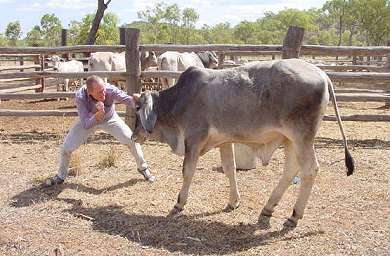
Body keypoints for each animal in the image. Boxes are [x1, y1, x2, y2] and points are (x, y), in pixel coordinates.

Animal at [130, 58, 354, 226]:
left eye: (137, 109)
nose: (133, 136)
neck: (180, 99)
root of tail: (322, 74)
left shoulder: (193, 139)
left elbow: (188, 171)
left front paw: (179, 204)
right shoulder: (224, 141)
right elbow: (230, 169)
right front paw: (233, 202)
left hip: (302, 137)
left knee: (309, 170)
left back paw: (294, 216)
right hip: (291, 140)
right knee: (291, 170)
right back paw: (268, 208)